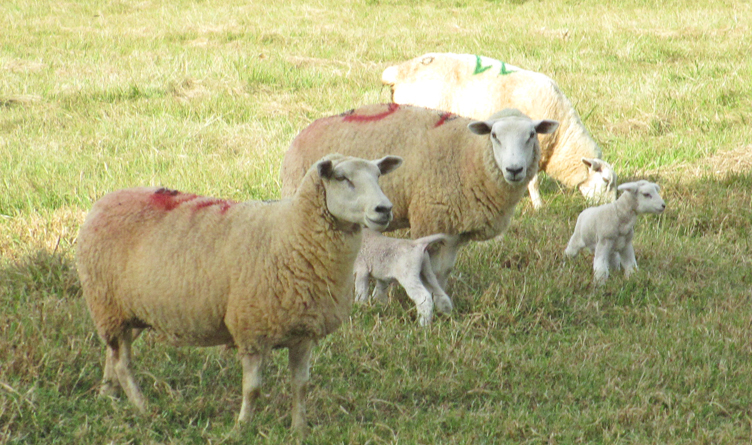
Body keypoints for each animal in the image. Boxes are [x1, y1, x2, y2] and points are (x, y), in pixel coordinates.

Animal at [75, 154, 403, 436]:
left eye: (378, 176)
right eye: (342, 178)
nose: (384, 209)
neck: (290, 234)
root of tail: (103, 202)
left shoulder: (303, 332)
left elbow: (301, 386)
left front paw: (299, 429)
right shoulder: (252, 329)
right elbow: (252, 389)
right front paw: (242, 427)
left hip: (124, 311)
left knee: (113, 354)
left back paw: (108, 395)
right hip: (105, 302)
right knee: (123, 363)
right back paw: (142, 407)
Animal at [280, 103, 559, 289]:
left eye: (531, 135)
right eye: (494, 136)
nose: (514, 170)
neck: (468, 155)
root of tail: (301, 134)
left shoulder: (454, 229)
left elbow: (444, 269)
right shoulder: (431, 218)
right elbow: (429, 269)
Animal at [381, 52, 617, 209]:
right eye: (606, 181)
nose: (610, 208)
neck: (561, 138)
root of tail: (399, 71)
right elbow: (532, 181)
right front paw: (538, 206)